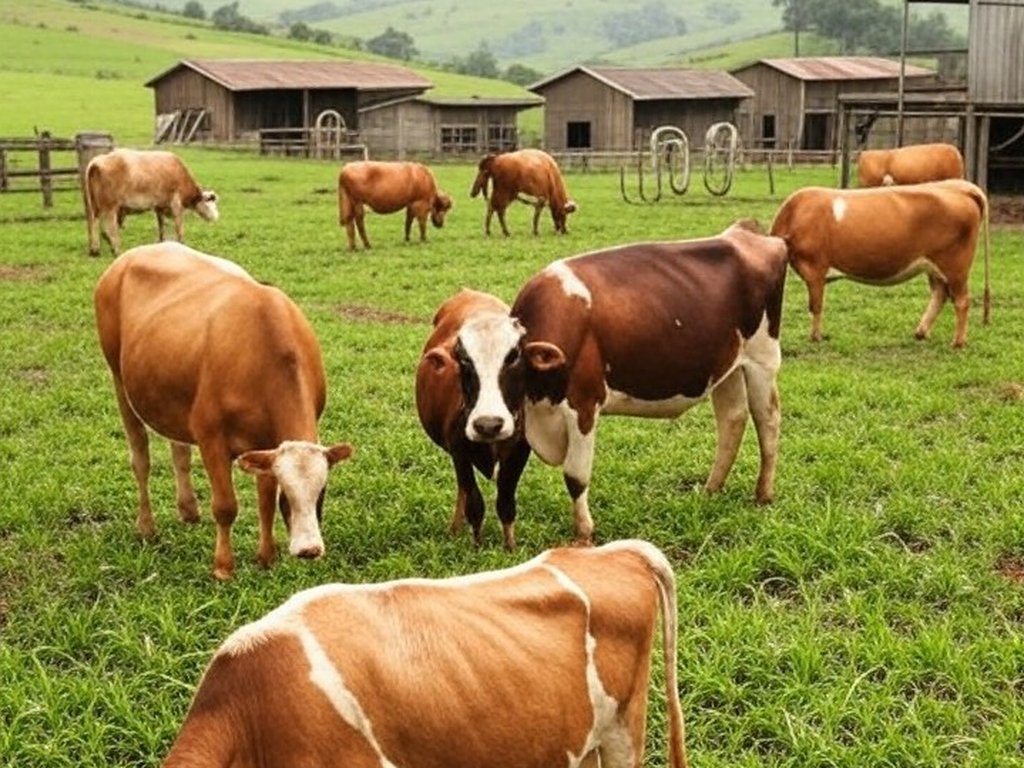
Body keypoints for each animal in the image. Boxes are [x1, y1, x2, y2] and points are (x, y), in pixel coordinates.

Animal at [85, 148, 219, 257]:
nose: (217, 216)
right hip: (110, 206)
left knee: (93, 223)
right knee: (110, 227)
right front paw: (182, 244)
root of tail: (98, 160)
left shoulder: (159, 206)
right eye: (210, 203)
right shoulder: (176, 203)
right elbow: (179, 227)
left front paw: (162, 241)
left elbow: (161, 225)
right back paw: (117, 250)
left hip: (95, 205)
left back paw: (94, 250)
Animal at [94, 242, 352, 580]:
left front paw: (267, 557)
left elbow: (264, 503)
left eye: (322, 490)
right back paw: (147, 527)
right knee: (141, 459)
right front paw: (223, 568)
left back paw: (188, 509)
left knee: (179, 452)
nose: (309, 550)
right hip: (120, 382)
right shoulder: (211, 437)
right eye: (288, 493)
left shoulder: (266, 444)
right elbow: (226, 506)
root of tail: (132, 255)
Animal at [415, 288, 532, 549]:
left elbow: (506, 503)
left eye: (514, 356)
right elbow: (475, 504)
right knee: (463, 490)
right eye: (465, 361)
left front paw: (510, 548)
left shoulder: (519, 451)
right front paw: (477, 546)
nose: (489, 425)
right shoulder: (459, 451)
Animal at [453, 220, 788, 546]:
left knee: (767, 420)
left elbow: (575, 477)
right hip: (726, 367)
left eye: (514, 357)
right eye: (464, 362)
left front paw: (583, 536)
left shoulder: (583, 404)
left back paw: (763, 494)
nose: (488, 424)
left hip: (762, 358)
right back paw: (711, 489)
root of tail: (744, 232)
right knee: (732, 419)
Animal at [770, 179, 991, 348]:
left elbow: (815, 306)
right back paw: (921, 332)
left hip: (956, 266)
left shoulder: (815, 269)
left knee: (962, 300)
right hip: (934, 266)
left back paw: (958, 342)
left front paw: (815, 337)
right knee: (940, 294)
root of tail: (961, 186)